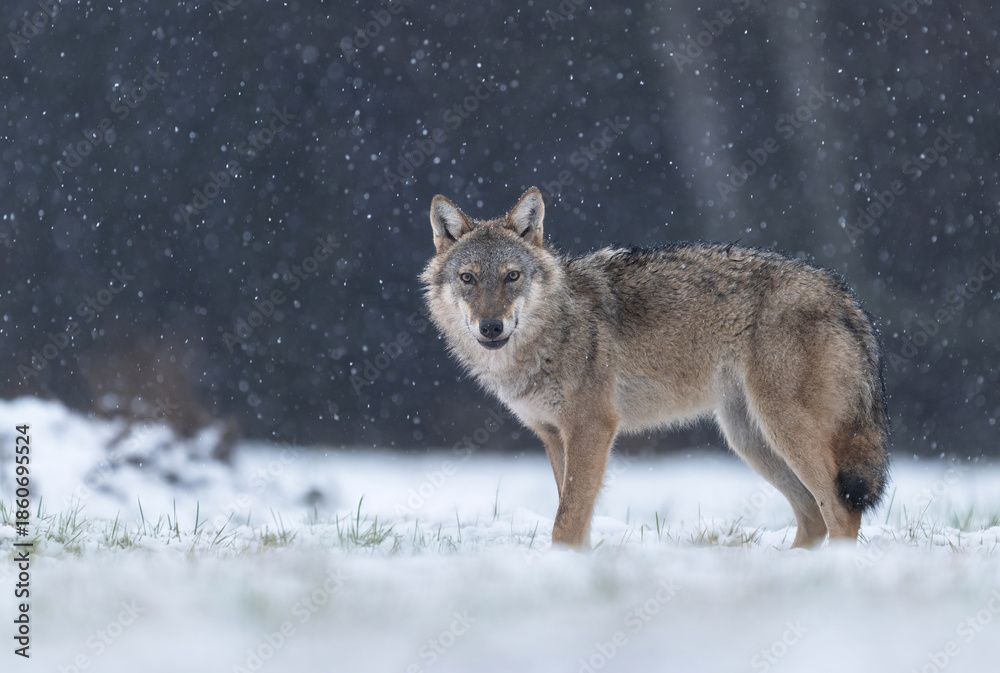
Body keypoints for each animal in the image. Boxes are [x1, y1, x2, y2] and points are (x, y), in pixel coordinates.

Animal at [420, 187, 889, 549]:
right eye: (468, 279)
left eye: (512, 276)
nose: (491, 326)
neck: (554, 331)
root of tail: (841, 291)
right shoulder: (554, 436)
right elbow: (575, 516)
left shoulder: (592, 428)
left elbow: (566, 520)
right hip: (750, 438)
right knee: (813, 518)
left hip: (784, 428)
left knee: (841, 512)